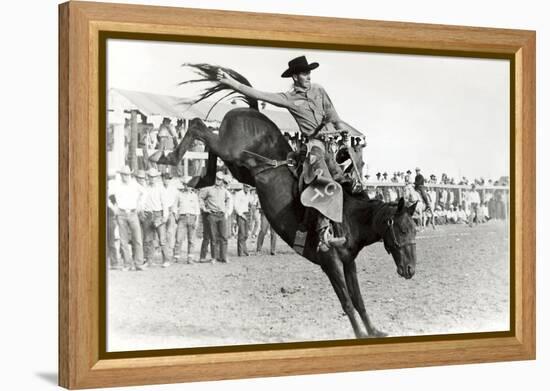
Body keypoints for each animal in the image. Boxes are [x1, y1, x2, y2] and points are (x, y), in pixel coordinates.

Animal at [151, 62, 418, 338]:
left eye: (414, 230)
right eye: (401, 229)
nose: (410, 270)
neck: (349, 216)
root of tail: (250, 109)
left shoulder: (348, 262)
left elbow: (358, 299)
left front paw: (374, 331)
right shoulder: (330, 262)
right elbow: (346, 301)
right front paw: (361, 334)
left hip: (239, 167)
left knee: (209, 147)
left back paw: (198, 179)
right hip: (231, 151)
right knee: (198, 126)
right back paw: (166, 157)